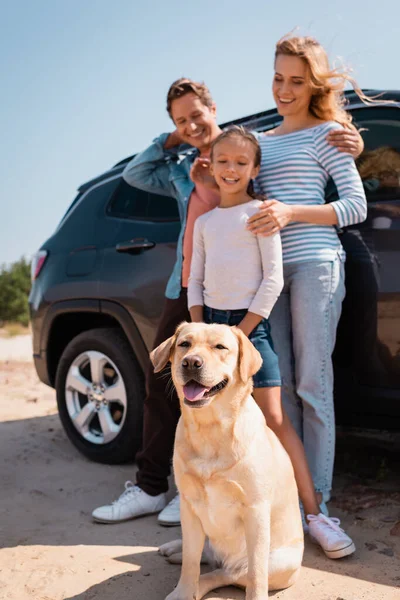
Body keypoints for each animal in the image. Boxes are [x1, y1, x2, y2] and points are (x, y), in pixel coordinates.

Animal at [151, 324, 304, 600]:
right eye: (184, 344)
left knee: (227, 572)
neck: (210, 430)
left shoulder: (255, 510)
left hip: (280, 561)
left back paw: (200, 583)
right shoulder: (189, 506)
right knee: (202, 555)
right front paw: (183, 591)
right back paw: (175, 550)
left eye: (220, 347)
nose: (191, 362)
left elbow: (255, 574)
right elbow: (191, 561)